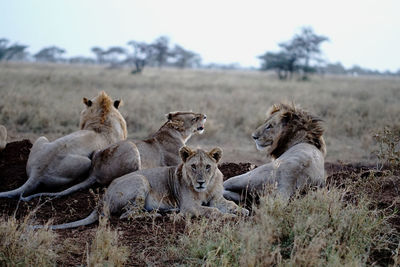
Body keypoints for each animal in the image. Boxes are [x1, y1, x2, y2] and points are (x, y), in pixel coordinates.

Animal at [19, 111, 205, 201]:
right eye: (194, 118)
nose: (205, 116)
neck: (174, 133)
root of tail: (94, 172)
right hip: (131, 146)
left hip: (97, 152)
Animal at [34, 147, 248, 230]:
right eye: (194, 166)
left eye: (208, 167)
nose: (201, 182)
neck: (206, 188)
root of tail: (103, 197)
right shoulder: (190, 207)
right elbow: (212, 211)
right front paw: (229, 217)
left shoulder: (216, 198)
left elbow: (227, 204)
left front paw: (242, 210)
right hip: (140, 180)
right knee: (127, 214)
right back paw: (159, 214)